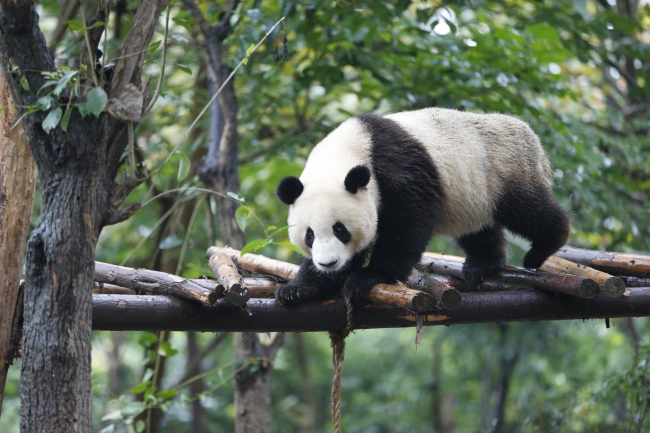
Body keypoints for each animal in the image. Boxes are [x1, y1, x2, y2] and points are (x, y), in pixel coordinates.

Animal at [274, 108, 568, 304]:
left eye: (340, 230)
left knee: (528, 210)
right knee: (478, 230)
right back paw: (482, 263)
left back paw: (542, 248)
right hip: (475, 195)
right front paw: (299, 288)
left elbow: (409, 222)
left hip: (505, 170)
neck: (350, 149)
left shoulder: (396, 168)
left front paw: (369, 277)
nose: (328, 263)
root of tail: (532, 138)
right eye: (309, 235)